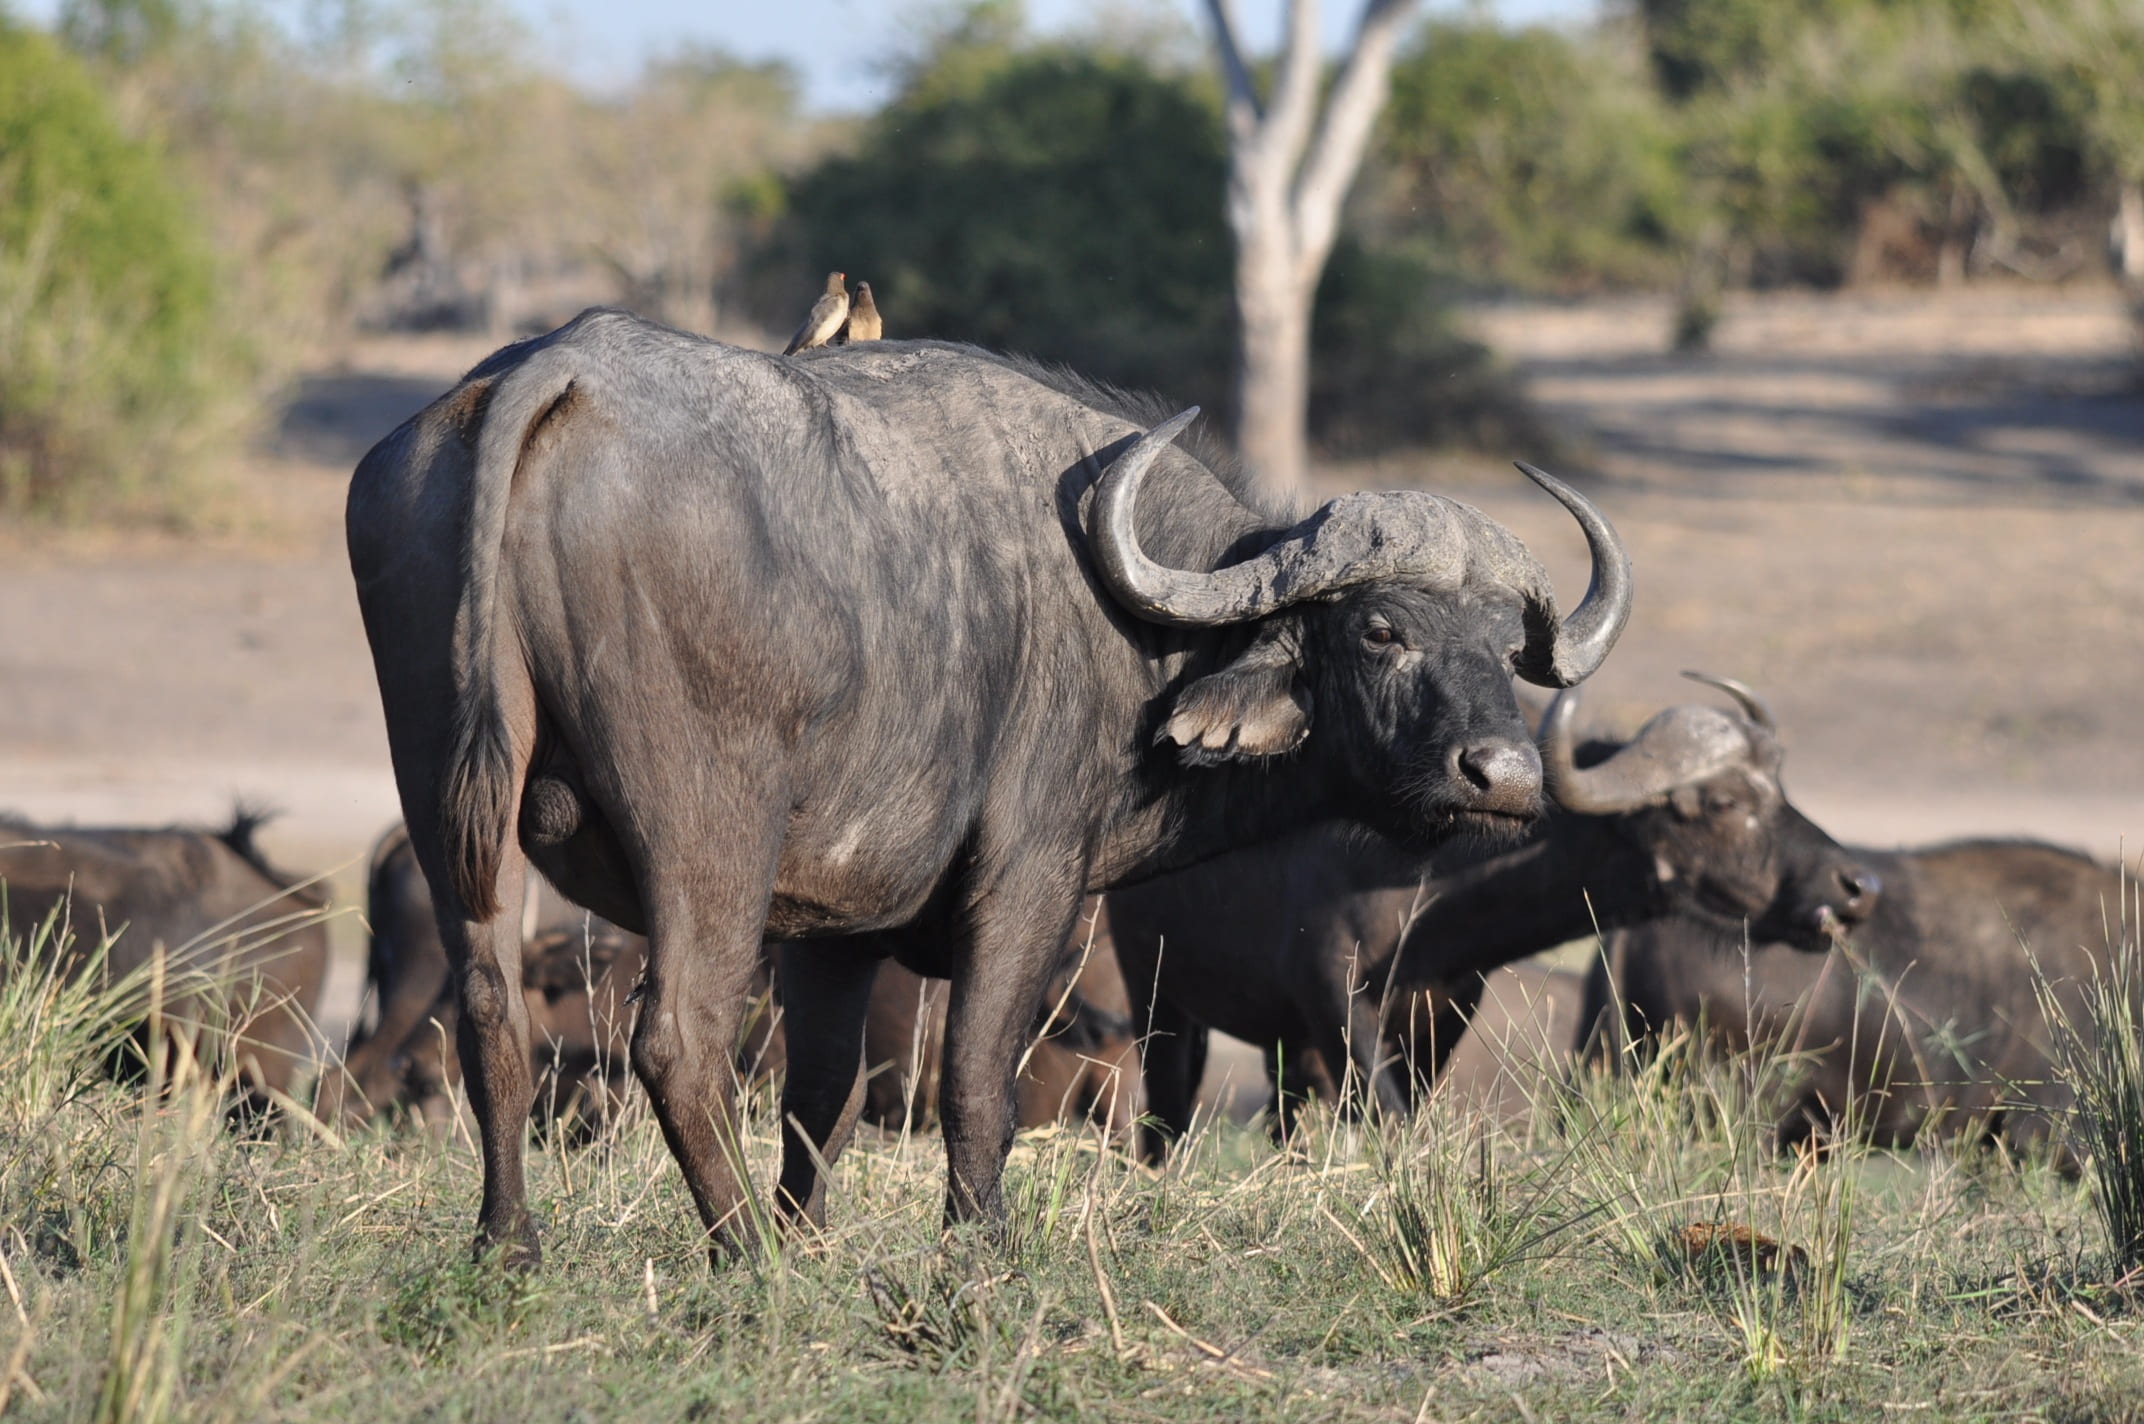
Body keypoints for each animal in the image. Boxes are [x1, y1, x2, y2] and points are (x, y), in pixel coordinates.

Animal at [345, 309, 1631, 1264]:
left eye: (1503, 644)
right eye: (1378, 628)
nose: (1502, 774)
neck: (1142, 626)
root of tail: (560, 370)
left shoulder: (834, 929)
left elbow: (822, 1095)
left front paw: (812, 1238)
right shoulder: (1032, 881)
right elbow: (975, 1078)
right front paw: (977, 1248)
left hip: (449, 812)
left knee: (488, 1015)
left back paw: (511, 1245)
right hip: (707, 835)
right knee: (676, 1037)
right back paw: (742, 1262)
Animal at [1108, 673, 1880, 1160]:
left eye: (1779, 785)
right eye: (1722, 801)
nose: (1857, 886)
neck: (1422, 879)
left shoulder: (1442, 1010)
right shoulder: (1333, 995)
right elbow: (1388, 1116)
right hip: (1156, 994)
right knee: (1164, 1117)